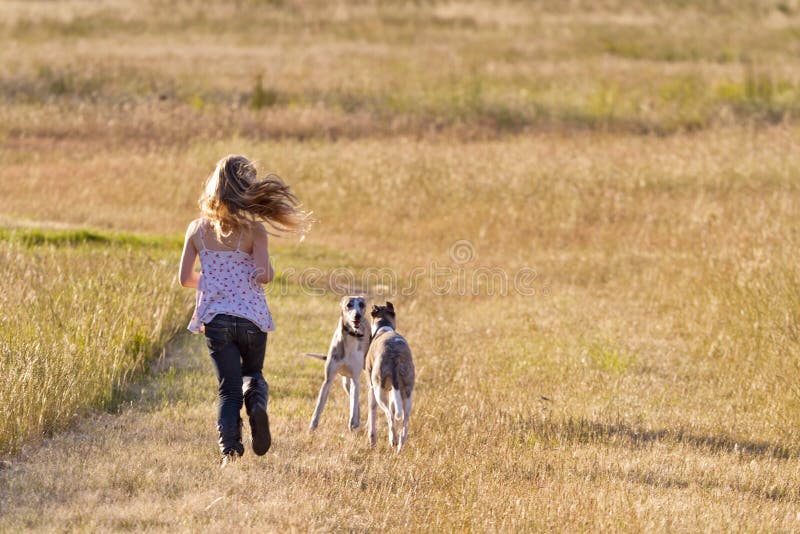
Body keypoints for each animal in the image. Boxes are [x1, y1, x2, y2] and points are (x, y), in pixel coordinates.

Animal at [308, 296, 370, 434]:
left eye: (362, 305)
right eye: (349, 305)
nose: (357, 315)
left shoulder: (356, 379)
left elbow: (353, 404)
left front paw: (352, 423)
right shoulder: (328, 379)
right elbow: (319, 406)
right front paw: (312, 427)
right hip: (346, 382)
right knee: (354, 399)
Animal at [366, 302, 416, 452]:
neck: (384, 328)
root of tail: (395, 357)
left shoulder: (371, 389)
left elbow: (372, 417)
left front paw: (372, 442)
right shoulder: (394, 392)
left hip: (379, 391)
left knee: (390, 416)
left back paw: (392, 439)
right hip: (407, 394)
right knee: (404, 426)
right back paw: (399, 448)